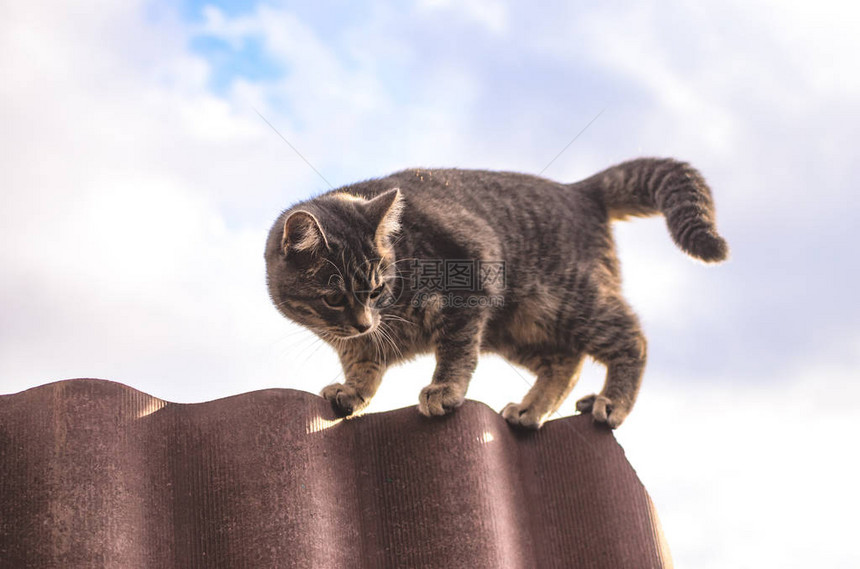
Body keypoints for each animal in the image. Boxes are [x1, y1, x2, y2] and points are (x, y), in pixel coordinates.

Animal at [262, 158, 724, 428]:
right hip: (520, 329)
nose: (363, 322)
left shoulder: (470, 282)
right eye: (334, 298)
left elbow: (456, 352)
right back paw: (530, 410)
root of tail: (579, 190)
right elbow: (363, 363)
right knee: (566, 362)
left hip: (570, 301)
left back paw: (613, 402)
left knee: (631, 337)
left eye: (376, 289)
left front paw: (444, 391)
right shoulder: (359, 343)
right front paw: (352, 390)